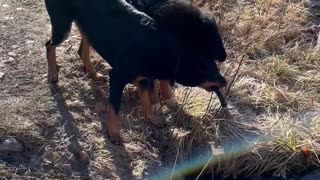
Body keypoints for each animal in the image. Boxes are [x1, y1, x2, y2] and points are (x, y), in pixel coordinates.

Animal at [44, 0, 228, 144]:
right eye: (210, 72)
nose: (225, 82)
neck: (162, 52)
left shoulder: (144, 78)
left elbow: (146, 99)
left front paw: (153, 118)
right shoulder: (117, 77)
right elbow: (115, 109)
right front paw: (114, 133)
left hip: (89, 29)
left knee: (82, 50)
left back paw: (93, 73)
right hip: (63, 25)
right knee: (49, 45)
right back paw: (53, 74)